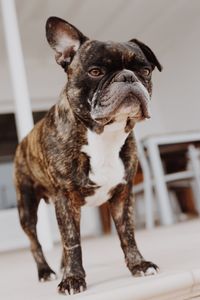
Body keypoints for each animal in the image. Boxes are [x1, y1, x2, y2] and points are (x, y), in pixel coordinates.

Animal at [13, 17, 161, 296]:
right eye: (95, 72)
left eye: (145, 71)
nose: (128, 76)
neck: (104, 134)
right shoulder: (65, 198)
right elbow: (72, 242)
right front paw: (73, 279)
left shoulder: (123, 194)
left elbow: (127, 233)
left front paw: (138, 264)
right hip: (27, 208)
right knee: (35, 242)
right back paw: (46, 272)